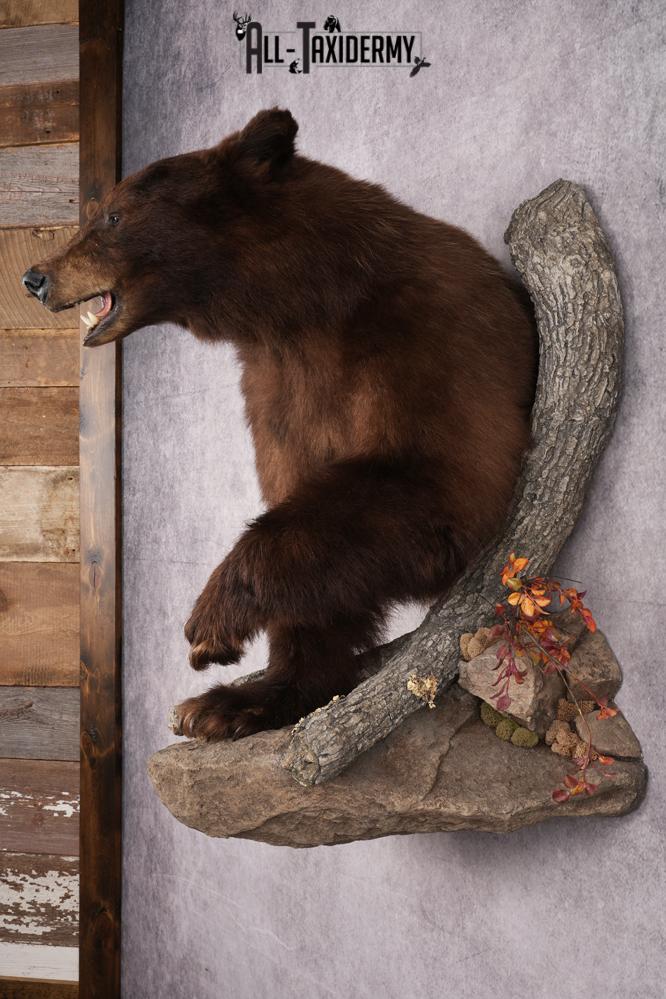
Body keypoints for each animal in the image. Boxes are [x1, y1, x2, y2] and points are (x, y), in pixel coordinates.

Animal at [22, 108, 537, 740]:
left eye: (112, 216)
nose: (36, 277)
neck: (304, 306)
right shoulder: (277, 387)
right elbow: (303, 509)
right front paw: (247, 693)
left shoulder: (428, 336)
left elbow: (438, 482)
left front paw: (209, 625)